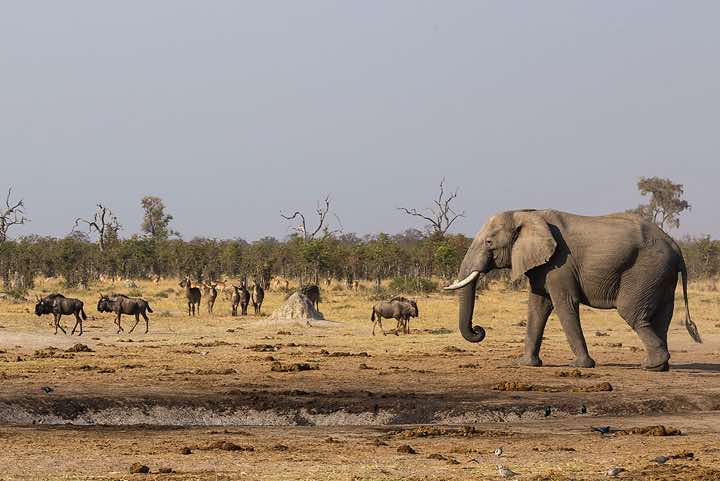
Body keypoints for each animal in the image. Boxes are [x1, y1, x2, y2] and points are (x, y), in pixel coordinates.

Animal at [445, 209, 702, 371]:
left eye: (489, 243)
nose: (479, 330)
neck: (527, 213)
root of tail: (676, 247)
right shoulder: (544, 265)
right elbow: (538, 306)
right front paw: (525, 364)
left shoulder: (561, 263)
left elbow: (564, 304)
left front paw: (581, 366)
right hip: (661, 275)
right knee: (661, 318)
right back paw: (660, 366)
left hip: (645, 270)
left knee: (632, 313)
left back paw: (649, 365)